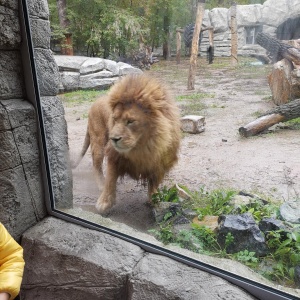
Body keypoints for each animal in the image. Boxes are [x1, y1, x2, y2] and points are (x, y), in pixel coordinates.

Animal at [75, 73, 182, 213]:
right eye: (114, 119)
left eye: (130, 121)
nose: (113, 139)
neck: (145, 146)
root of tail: (95, 101)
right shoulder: (114, 155)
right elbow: (110, 180)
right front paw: (104, 203)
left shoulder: (159, 163)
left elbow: (154, 183)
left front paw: (155, 200)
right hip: (98, 141)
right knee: (96, 165)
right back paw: (101, 184)